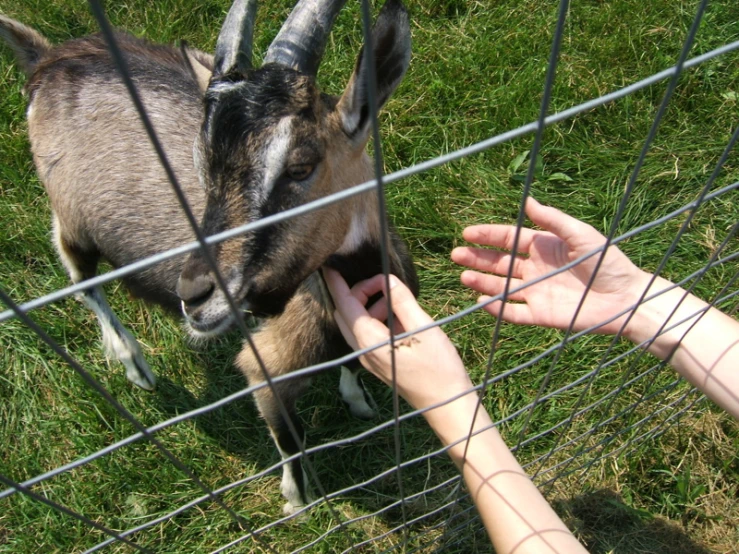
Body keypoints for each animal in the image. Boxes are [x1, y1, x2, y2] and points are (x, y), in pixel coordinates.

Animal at [0, 0, 416, 512]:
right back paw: (134, 363)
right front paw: (296, 502)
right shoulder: (265, 369)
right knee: (79, 274)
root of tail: (45, 60)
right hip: (72, 215)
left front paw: (358, 401)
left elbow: (352, 368)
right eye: (203, 165)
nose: (194, 295)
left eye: (300, 166)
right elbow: (292, 439)